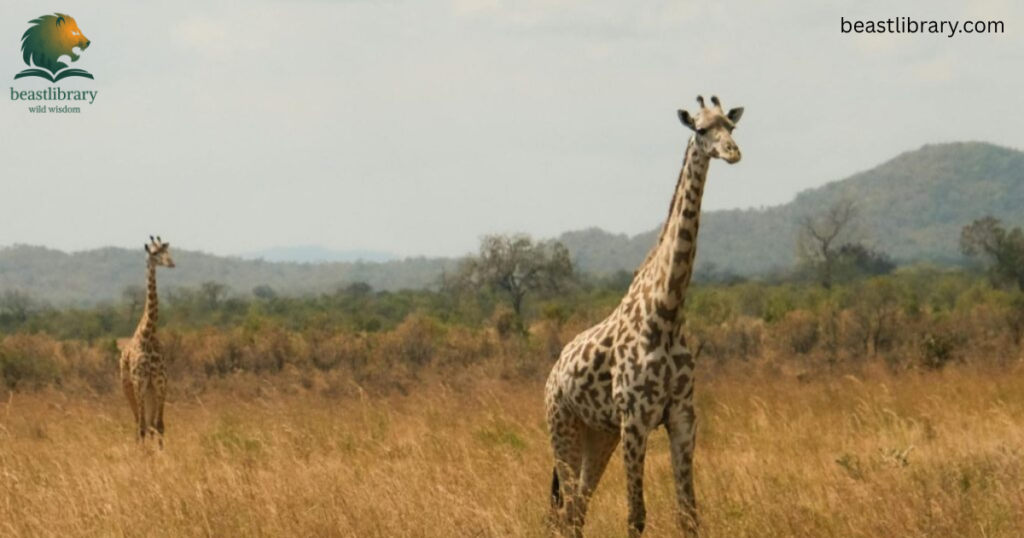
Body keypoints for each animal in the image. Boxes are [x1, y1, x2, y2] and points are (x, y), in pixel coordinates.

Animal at [120, 236, 175, 448]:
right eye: (154, 253)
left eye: (168, 251)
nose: (171, 263)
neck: (148, 335)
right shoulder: (140, 383)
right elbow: (143, 427)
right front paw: (145, 455)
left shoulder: (160, 382)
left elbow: (159, 426)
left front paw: (160, 454)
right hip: (128, 388)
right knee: (138, 423)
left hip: (149, 391)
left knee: (150, 424)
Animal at [545, 95, 744, 537]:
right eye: (700, 129)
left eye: (731, 126)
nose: (733, 153)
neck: (667, 311)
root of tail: (552, 374)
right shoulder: (635, 419)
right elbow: (636, 516)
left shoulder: (683, 416)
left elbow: (689, 513)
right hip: (562, 426)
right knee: (567, 512)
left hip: (600, 435)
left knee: (578, 508)